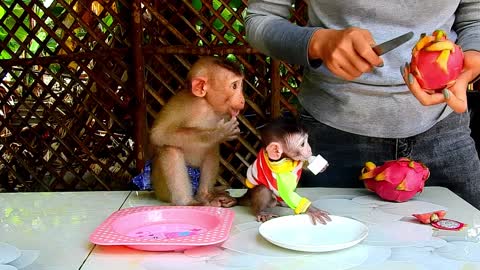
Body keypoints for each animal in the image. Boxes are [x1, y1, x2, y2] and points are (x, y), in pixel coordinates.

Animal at [150, 57, 246, 208]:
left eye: (240, 85)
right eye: (235, 86)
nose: (242, 99)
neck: (207, 105)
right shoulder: (186, 104)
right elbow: (159, 133)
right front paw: (217, 133)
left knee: (212, 148)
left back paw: (206, 195)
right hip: (161, 188)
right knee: (170, 148)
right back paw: (186, 202)